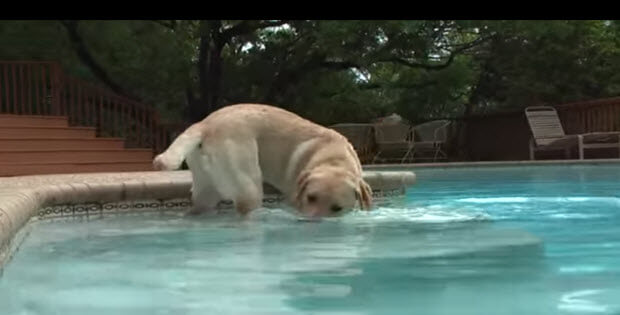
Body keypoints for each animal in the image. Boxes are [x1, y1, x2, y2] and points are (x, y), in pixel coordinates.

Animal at [154, 103, 372, 217]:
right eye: (311, 198)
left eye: (337, 209)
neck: (333, 159)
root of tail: (205, 124)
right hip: (249, 187)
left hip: (205, 191)